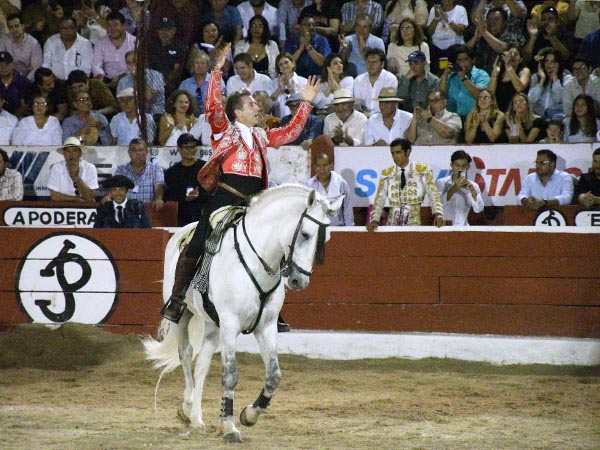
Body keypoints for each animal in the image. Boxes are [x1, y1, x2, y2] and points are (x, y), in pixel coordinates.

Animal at [143, 184, 342, 442]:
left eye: (325, 239)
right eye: (306, 234)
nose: (299, 281)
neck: (258, 261)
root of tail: (180, 233)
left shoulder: (266, 327)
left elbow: (274, 376)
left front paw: (249, 415)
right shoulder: (230, 324)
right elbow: (230, 375)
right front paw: (229, 427)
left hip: (213, 325)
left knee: (202, 363)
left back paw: (197, 419)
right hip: (184, 317)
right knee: (186, 355)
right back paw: (187, 407)